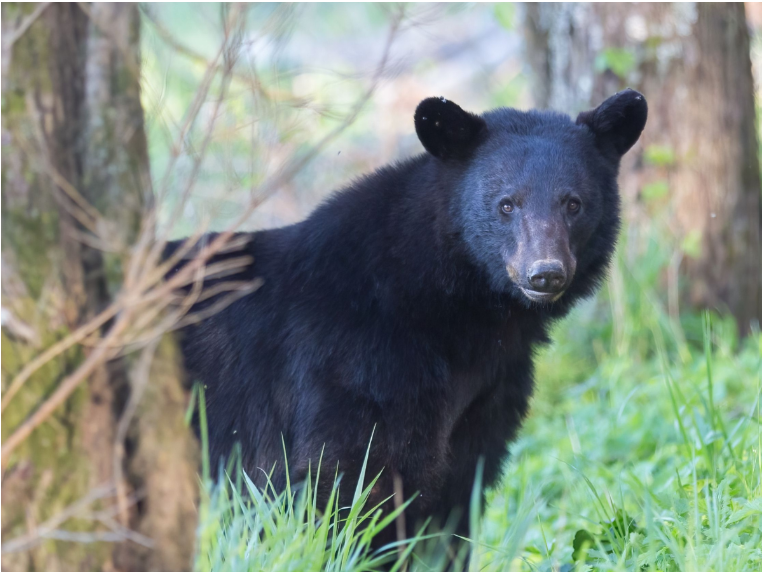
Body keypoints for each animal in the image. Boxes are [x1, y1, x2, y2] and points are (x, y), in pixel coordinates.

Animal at [166, 89, 647, 554]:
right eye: (507, 204)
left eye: (574, 203)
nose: (545, 272)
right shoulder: (351, 368)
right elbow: (344, 486)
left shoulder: (486, 399)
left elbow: (454, 503)